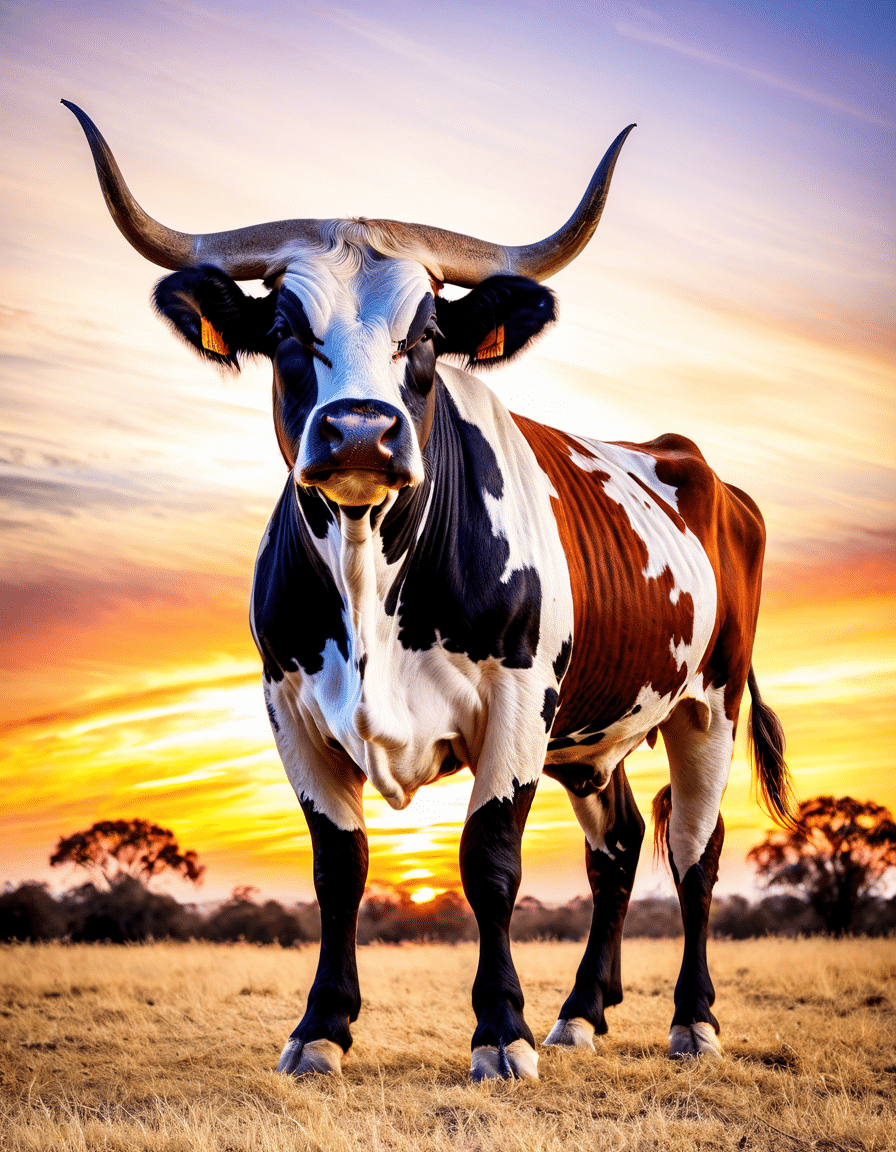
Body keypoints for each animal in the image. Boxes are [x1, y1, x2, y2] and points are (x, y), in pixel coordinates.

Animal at [65, 100, 793, 1081]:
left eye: (425, 337)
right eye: (286, 331)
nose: (360, 432)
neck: (371, 576)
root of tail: (691, 460)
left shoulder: (519, 702)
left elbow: (488, 863)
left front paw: (501, 1032)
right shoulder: (288, 706)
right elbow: (339, 867)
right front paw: (322, 1028)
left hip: (706, 703)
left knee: (694, 850)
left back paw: (694, 1021)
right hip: (593, 737)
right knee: (617, 850)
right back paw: (580, 1014)